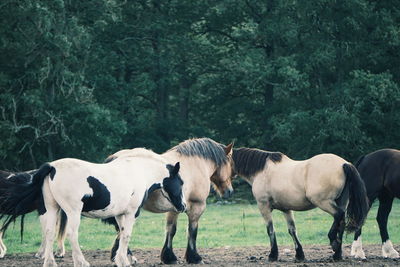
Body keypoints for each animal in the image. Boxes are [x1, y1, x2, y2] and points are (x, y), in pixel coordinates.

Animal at [0, 151, 188, 267]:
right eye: (181, 181)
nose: (184, 206)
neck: (138, 171)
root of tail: (52, 167)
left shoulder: (119, 215)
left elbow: (121, 234)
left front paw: (119, 259)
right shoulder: (130, 213)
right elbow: (126, 235)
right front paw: (124, 261)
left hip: (52, 209)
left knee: (49, 233)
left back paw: (50, 262)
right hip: (72, 212)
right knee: (72, 234)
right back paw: (81, 262)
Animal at [104, 139, 234, 264]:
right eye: (229, 164)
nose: (229, 191)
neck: (195, 165)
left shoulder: (174, 208)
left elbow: (170, 229)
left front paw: (168, 256)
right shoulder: (196, 207)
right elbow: (191, 231)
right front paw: (193, 257)